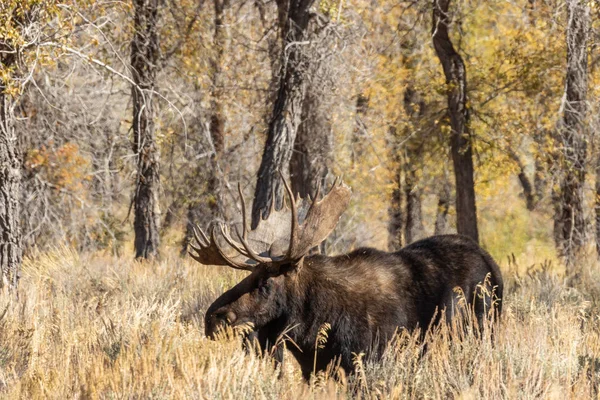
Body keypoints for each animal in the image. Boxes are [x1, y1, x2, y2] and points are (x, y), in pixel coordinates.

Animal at [191, 177, 502, 380]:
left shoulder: (364, 360)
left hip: (479, 330)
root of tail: (493, 264)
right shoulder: (314, 370)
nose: (212, 318)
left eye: (266, 284)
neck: (312, 325)